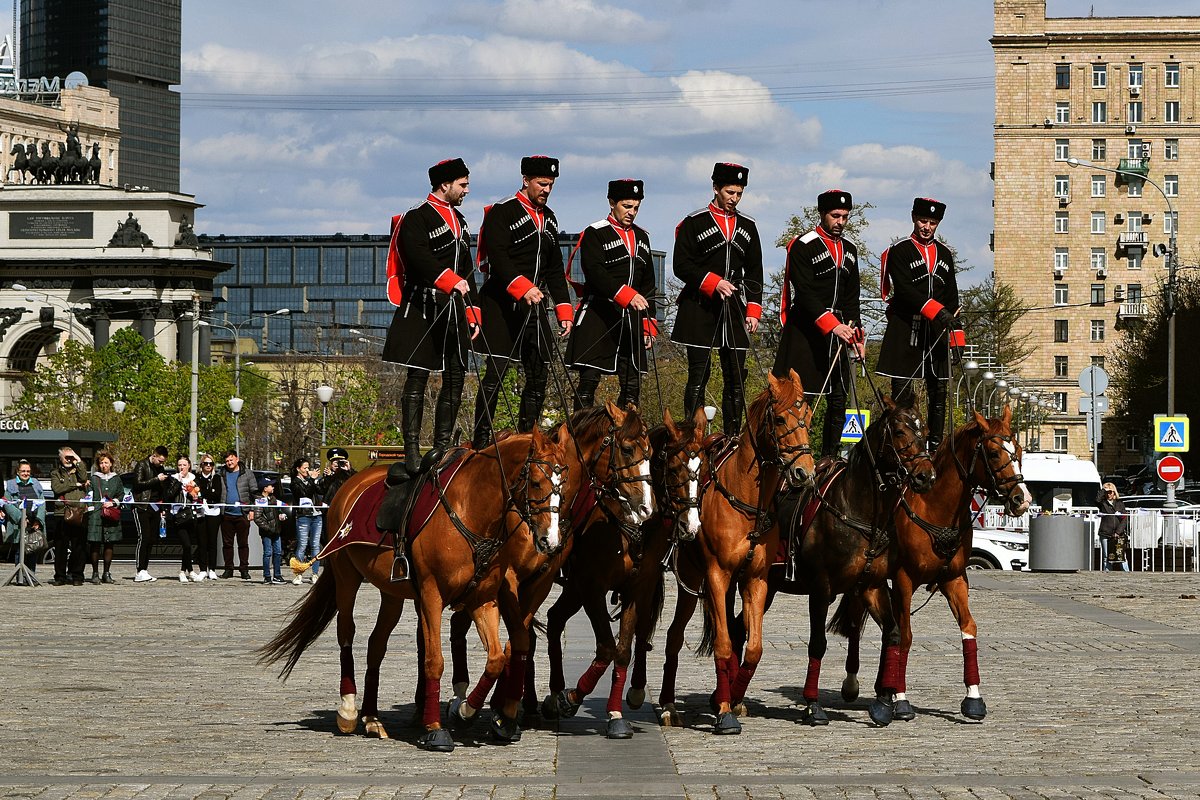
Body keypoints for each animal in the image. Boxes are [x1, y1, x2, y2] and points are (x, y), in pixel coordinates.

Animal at [259, 429, 571, 748]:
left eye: (563, 483)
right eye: (537, 481)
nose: (550, 540)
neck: (471, 510)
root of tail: (351, 483)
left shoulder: (483, 599)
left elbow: (497, 658)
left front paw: (467, 711)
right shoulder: (432, 596)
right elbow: (434, 660)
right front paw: (435, 728)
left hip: (391, 593)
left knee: (376, 644)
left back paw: (372, 719)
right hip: (346, 577)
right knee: (346, 632)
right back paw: (348, 710)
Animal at [657, 371, 816, 734]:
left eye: (808, 417)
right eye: (781, 419)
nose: (805, 472)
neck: (747, 504)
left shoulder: (756, 581)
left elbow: (752, 647)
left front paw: (732, 698)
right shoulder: (717, 576)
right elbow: (724, 643)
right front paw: (724, 712)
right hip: (692, 583)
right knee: (675, 637)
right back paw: (669, 705)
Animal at [830, 407, 1036, 724]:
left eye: (1020, 450)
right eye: (993, 452)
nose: (1021, 499)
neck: (935, 510)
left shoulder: (955, 579)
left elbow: (968, 628)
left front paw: (973, 698)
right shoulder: (904, 580)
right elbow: (905, 635)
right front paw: (901, 699)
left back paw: (882, 686)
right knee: (858, 622)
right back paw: (856, 683)